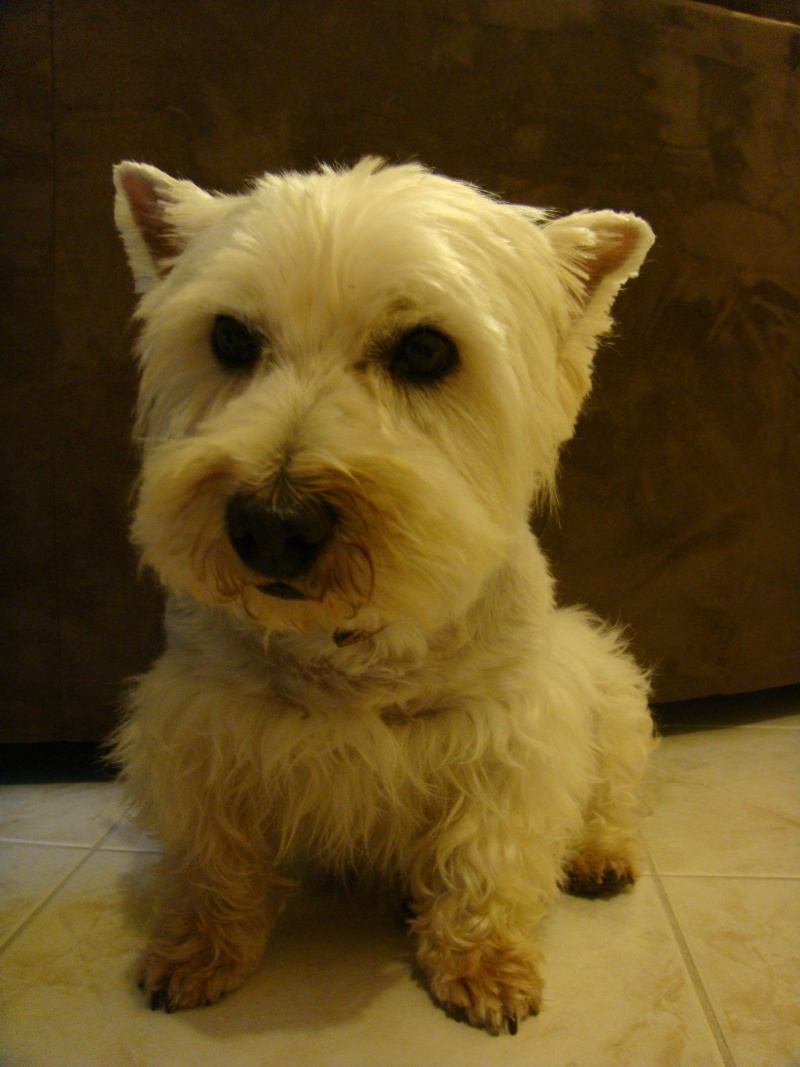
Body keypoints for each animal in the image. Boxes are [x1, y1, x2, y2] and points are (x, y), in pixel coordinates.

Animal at [109, 155, 652, 1032]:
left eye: (427, 350)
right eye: (230, 337)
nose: (271, 526)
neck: (345, 638)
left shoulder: (507, 736)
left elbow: (488, 852)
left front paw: (483, 962)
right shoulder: (197, 724)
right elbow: (209, 856)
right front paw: (197, 949)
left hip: (608, 681)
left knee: (611, 789)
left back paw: (600, 854)